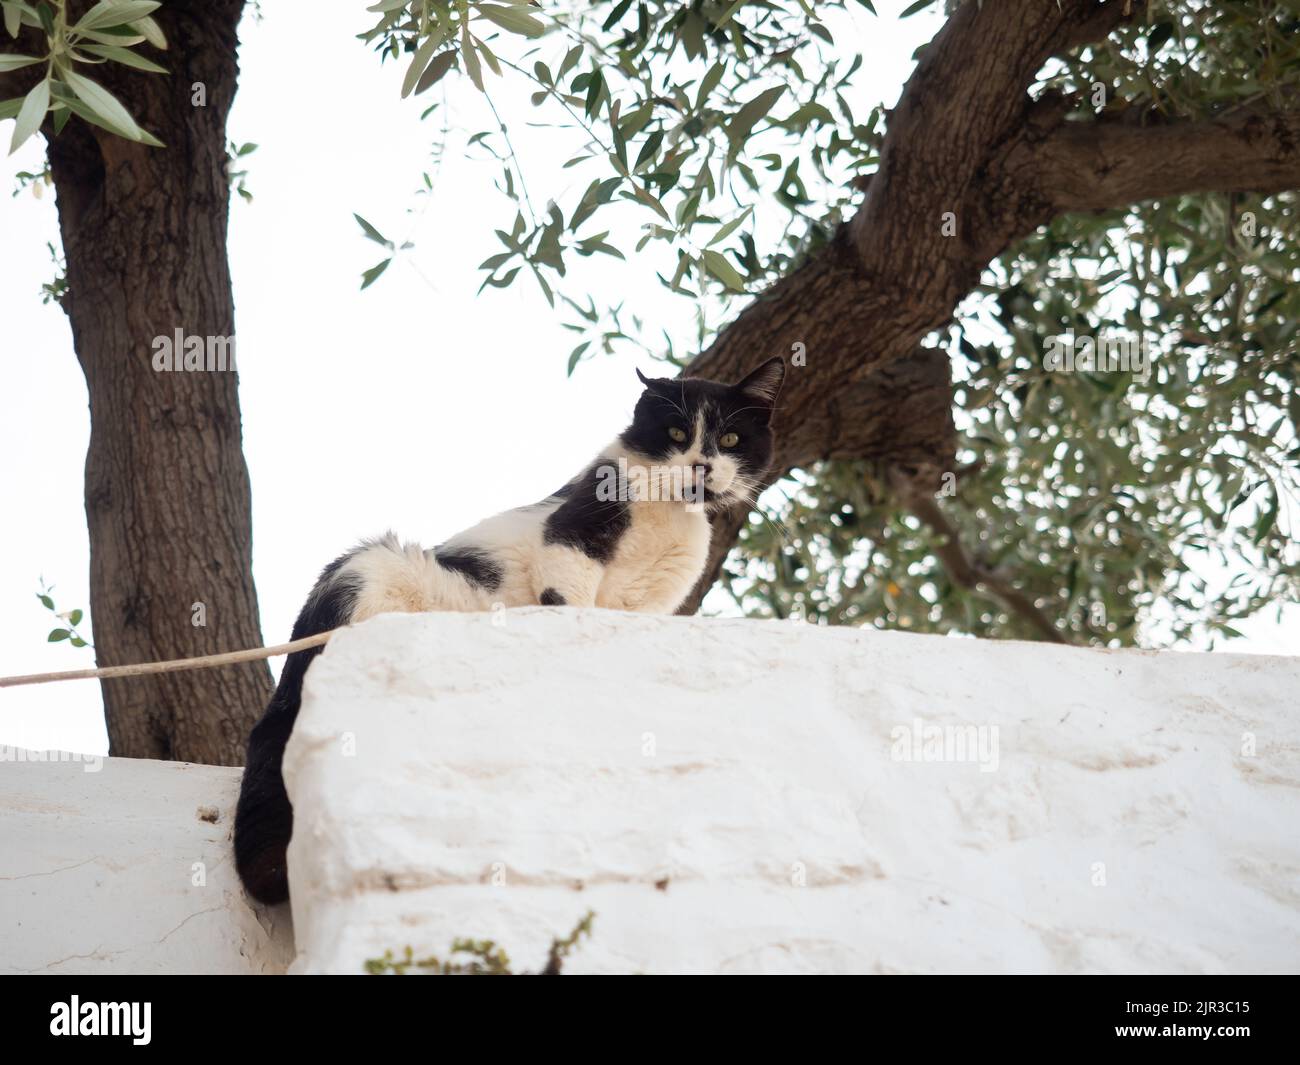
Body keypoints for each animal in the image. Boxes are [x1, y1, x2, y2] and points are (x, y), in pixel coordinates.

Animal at [232, 356, 780, 899]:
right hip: (371, 568)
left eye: (730, 439)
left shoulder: (654, 602)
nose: (701, 464)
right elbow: (570, 598)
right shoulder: (571, 536)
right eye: (676, 431)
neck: (668, 515)